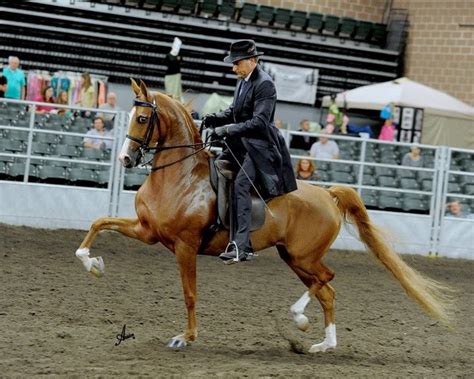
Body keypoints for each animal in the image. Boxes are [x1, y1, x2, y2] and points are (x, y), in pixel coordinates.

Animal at [75, 79, 452, 354]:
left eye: (142, 118)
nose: (125, 159)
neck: (180, 176)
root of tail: (329, 194)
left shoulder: (185, 246)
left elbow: (189, 294)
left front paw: (186, 337)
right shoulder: (148, 231)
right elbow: (99, 222)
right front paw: (93, 264)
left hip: (303, 255)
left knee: (327, 278)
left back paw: (299, 319)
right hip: (294, 258)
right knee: (327, 290)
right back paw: (322, 344)